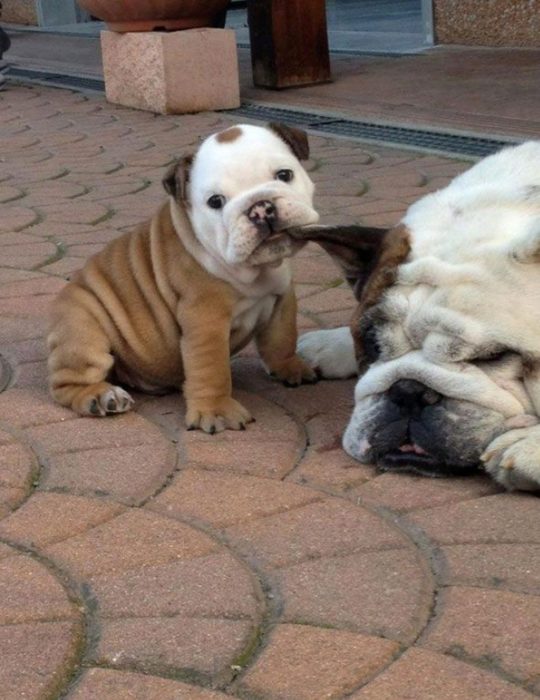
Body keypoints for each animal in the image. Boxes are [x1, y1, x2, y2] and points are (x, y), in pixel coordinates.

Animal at [48, 124, 318, 432]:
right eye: (215, 202)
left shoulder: (282, 298)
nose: (260, 208)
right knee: (67, 383)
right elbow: (212, 369)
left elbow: (282, 338)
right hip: (82, 328)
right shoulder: (205, 320)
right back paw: (101, 397)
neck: (257, 272)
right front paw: (217, 410)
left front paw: (291, 368)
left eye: (284, 175)